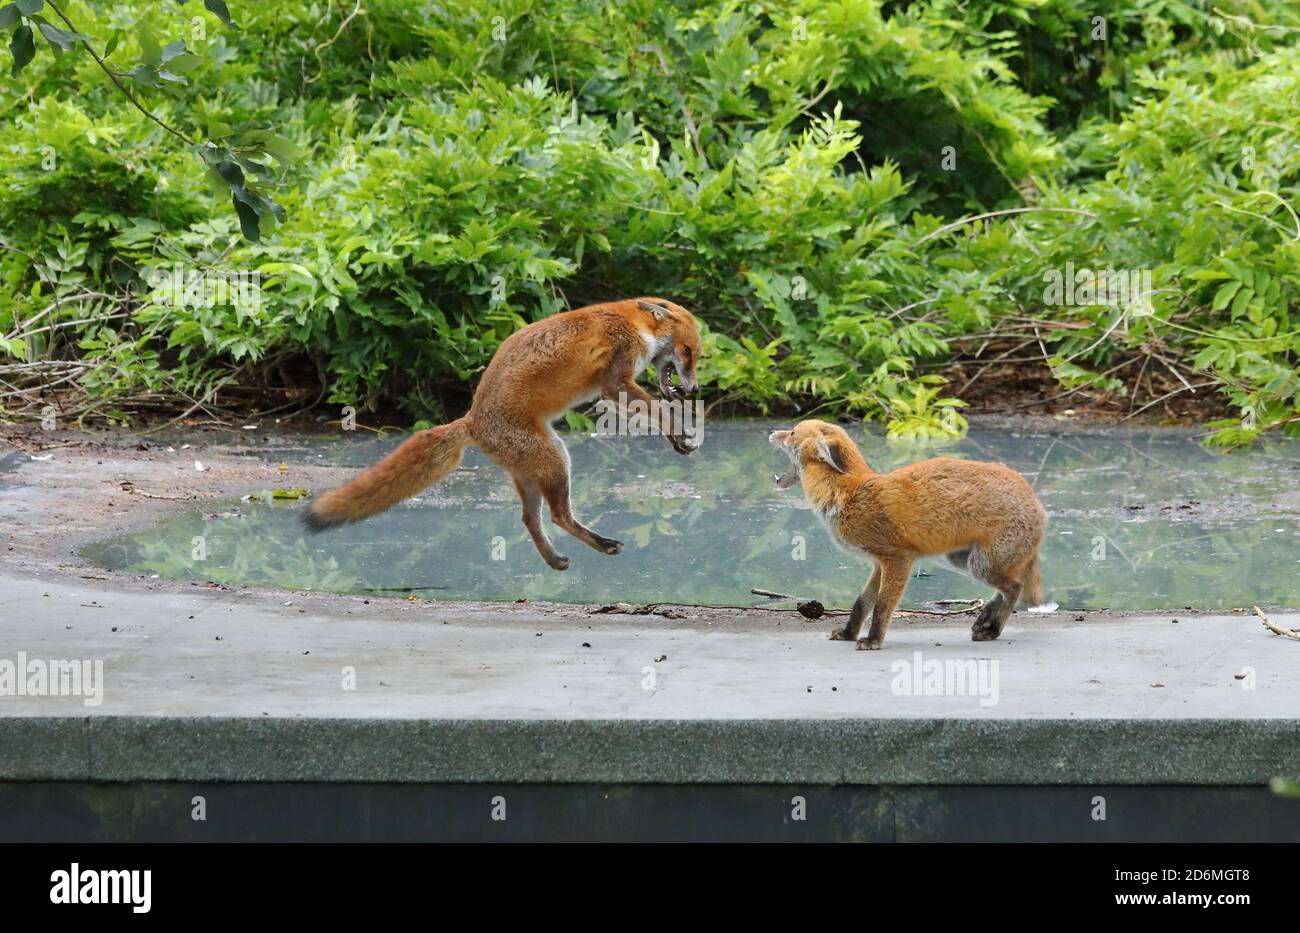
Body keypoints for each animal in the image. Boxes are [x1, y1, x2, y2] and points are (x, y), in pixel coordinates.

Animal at [302, 297, 702, 569]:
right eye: (687, 351)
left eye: (697, 355)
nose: (695, 389)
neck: (634, 323)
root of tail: (470, 420)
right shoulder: (615, 381)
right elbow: (659, 410)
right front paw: (682, 433)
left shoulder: (617, 388)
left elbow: (653, 412)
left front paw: (676, 438)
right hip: (555, 461)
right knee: (558, 516)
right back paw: (601, 545)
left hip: (535, 467)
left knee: (530, 518)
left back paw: (554, 559)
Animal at [769, 421, 1045, 649]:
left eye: (792, 432)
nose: (771, 432)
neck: (848, 493)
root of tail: (1035, 498)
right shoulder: (878, 563)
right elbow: (862, 603)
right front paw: (849, 634)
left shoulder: (898, 559)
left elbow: (882, 606)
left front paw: (873, 640)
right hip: (961, 561)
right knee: (1005, 589)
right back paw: (985, 619)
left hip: (981, 566)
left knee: (1015, 588)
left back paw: (994, 629)